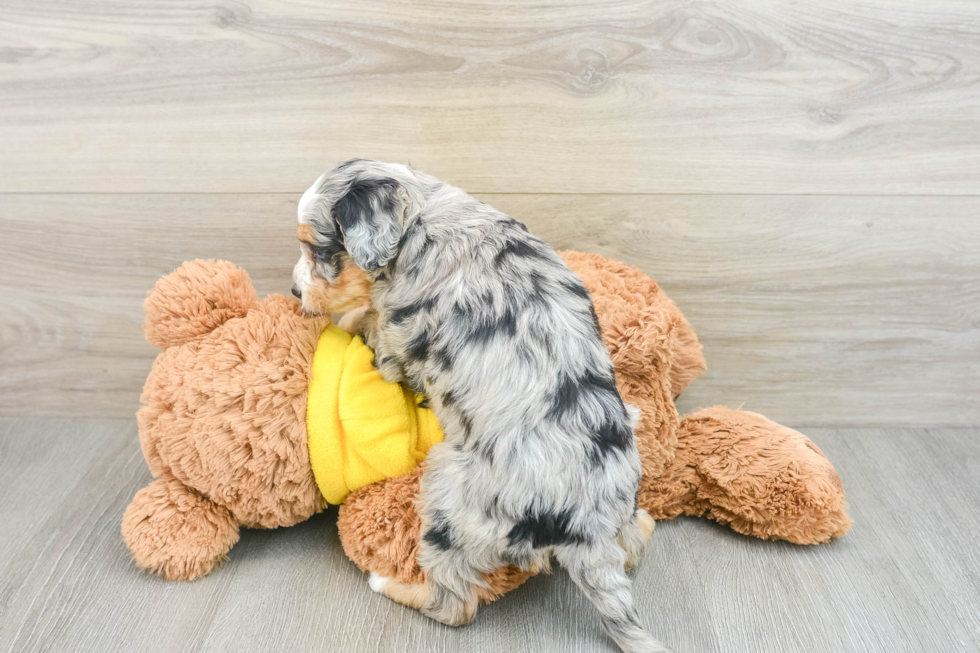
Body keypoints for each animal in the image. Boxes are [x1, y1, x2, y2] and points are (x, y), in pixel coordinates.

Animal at [290, 159, 668, 652]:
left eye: (317, 248)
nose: (293, 293)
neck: (422, 222)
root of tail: (588, 529)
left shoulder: (393, 344)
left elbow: (368, 321)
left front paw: (348, 318)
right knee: (637, 541)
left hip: (449, 495)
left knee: (454, 605)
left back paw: (389, 583)